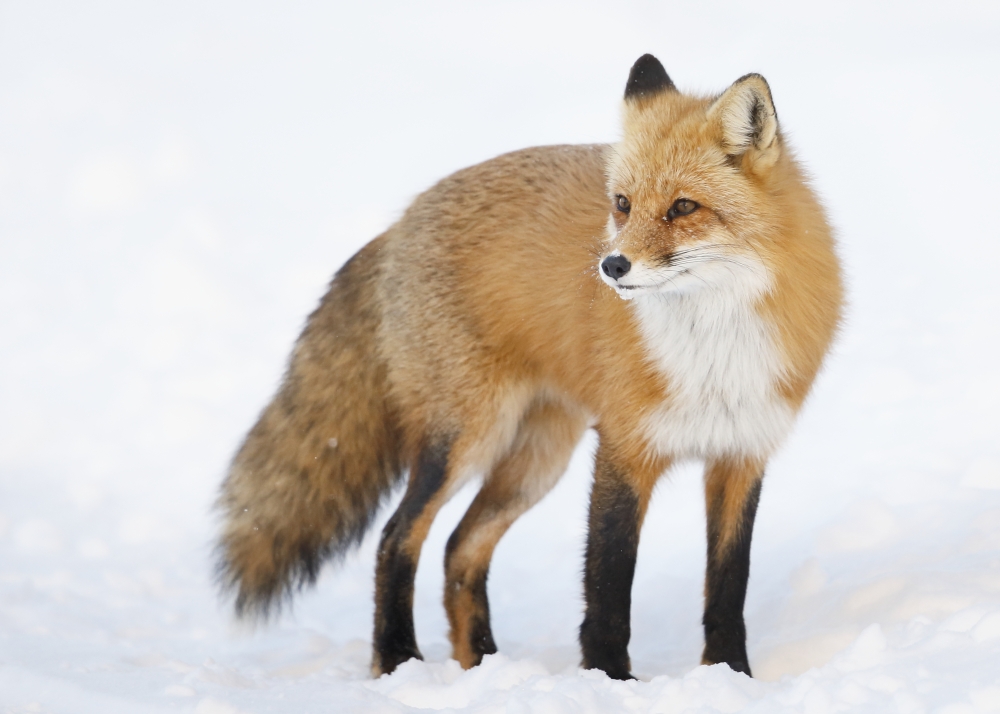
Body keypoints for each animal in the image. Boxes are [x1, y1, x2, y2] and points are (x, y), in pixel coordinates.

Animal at [215, 54, 842, 680]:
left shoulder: (741, 454)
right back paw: (397, 659)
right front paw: (610, 679)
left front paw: (731, 675)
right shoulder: (624, 448)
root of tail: (400, 222)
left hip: (535, 461)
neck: (714, 347)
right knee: (398, 538)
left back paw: (482, 664)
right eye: (622, 204)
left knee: (460, 548)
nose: (613, 266)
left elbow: (728, 587)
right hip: (465, 439)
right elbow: (609, 583)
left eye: (684, 207)